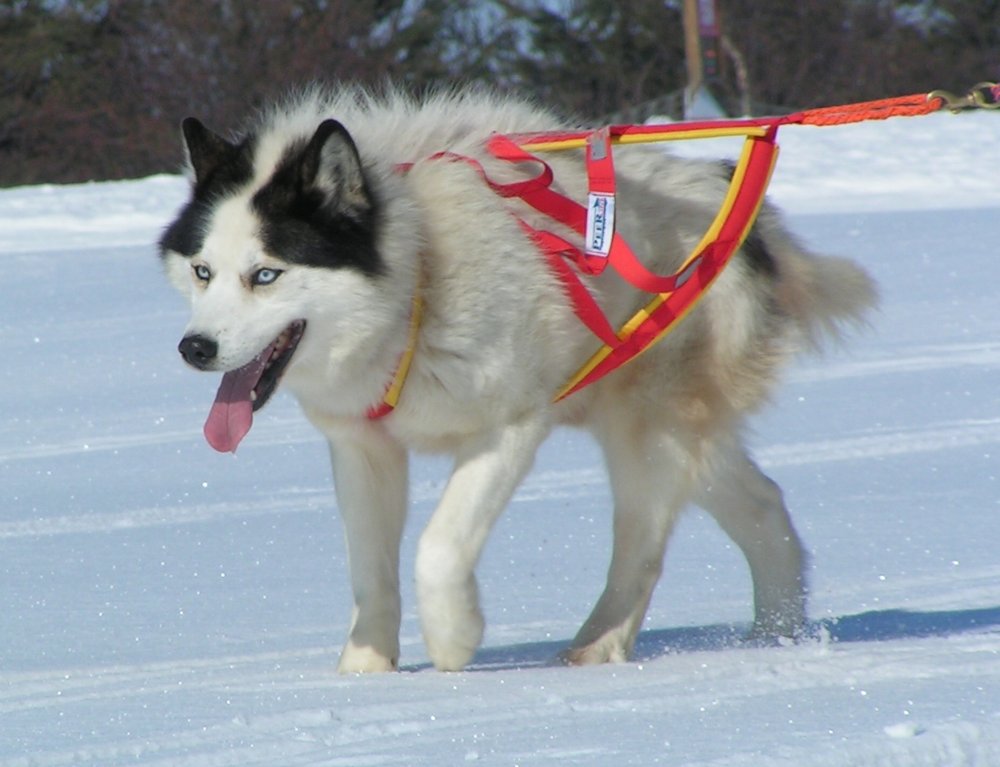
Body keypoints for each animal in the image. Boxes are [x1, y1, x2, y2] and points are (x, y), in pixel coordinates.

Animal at [156, 85, 876, 672]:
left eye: (265, 274)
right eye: (202, 271)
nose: (195, 348)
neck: (419, 282)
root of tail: (730, 198)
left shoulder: (509, 429)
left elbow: (438, 547)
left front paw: (455, 639)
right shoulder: (363, 448)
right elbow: (370, 570)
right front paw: (366, 668)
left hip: (649, 433)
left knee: (641, 547)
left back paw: (599, 644)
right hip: (682, 435)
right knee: (763, 504)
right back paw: (776, 639)